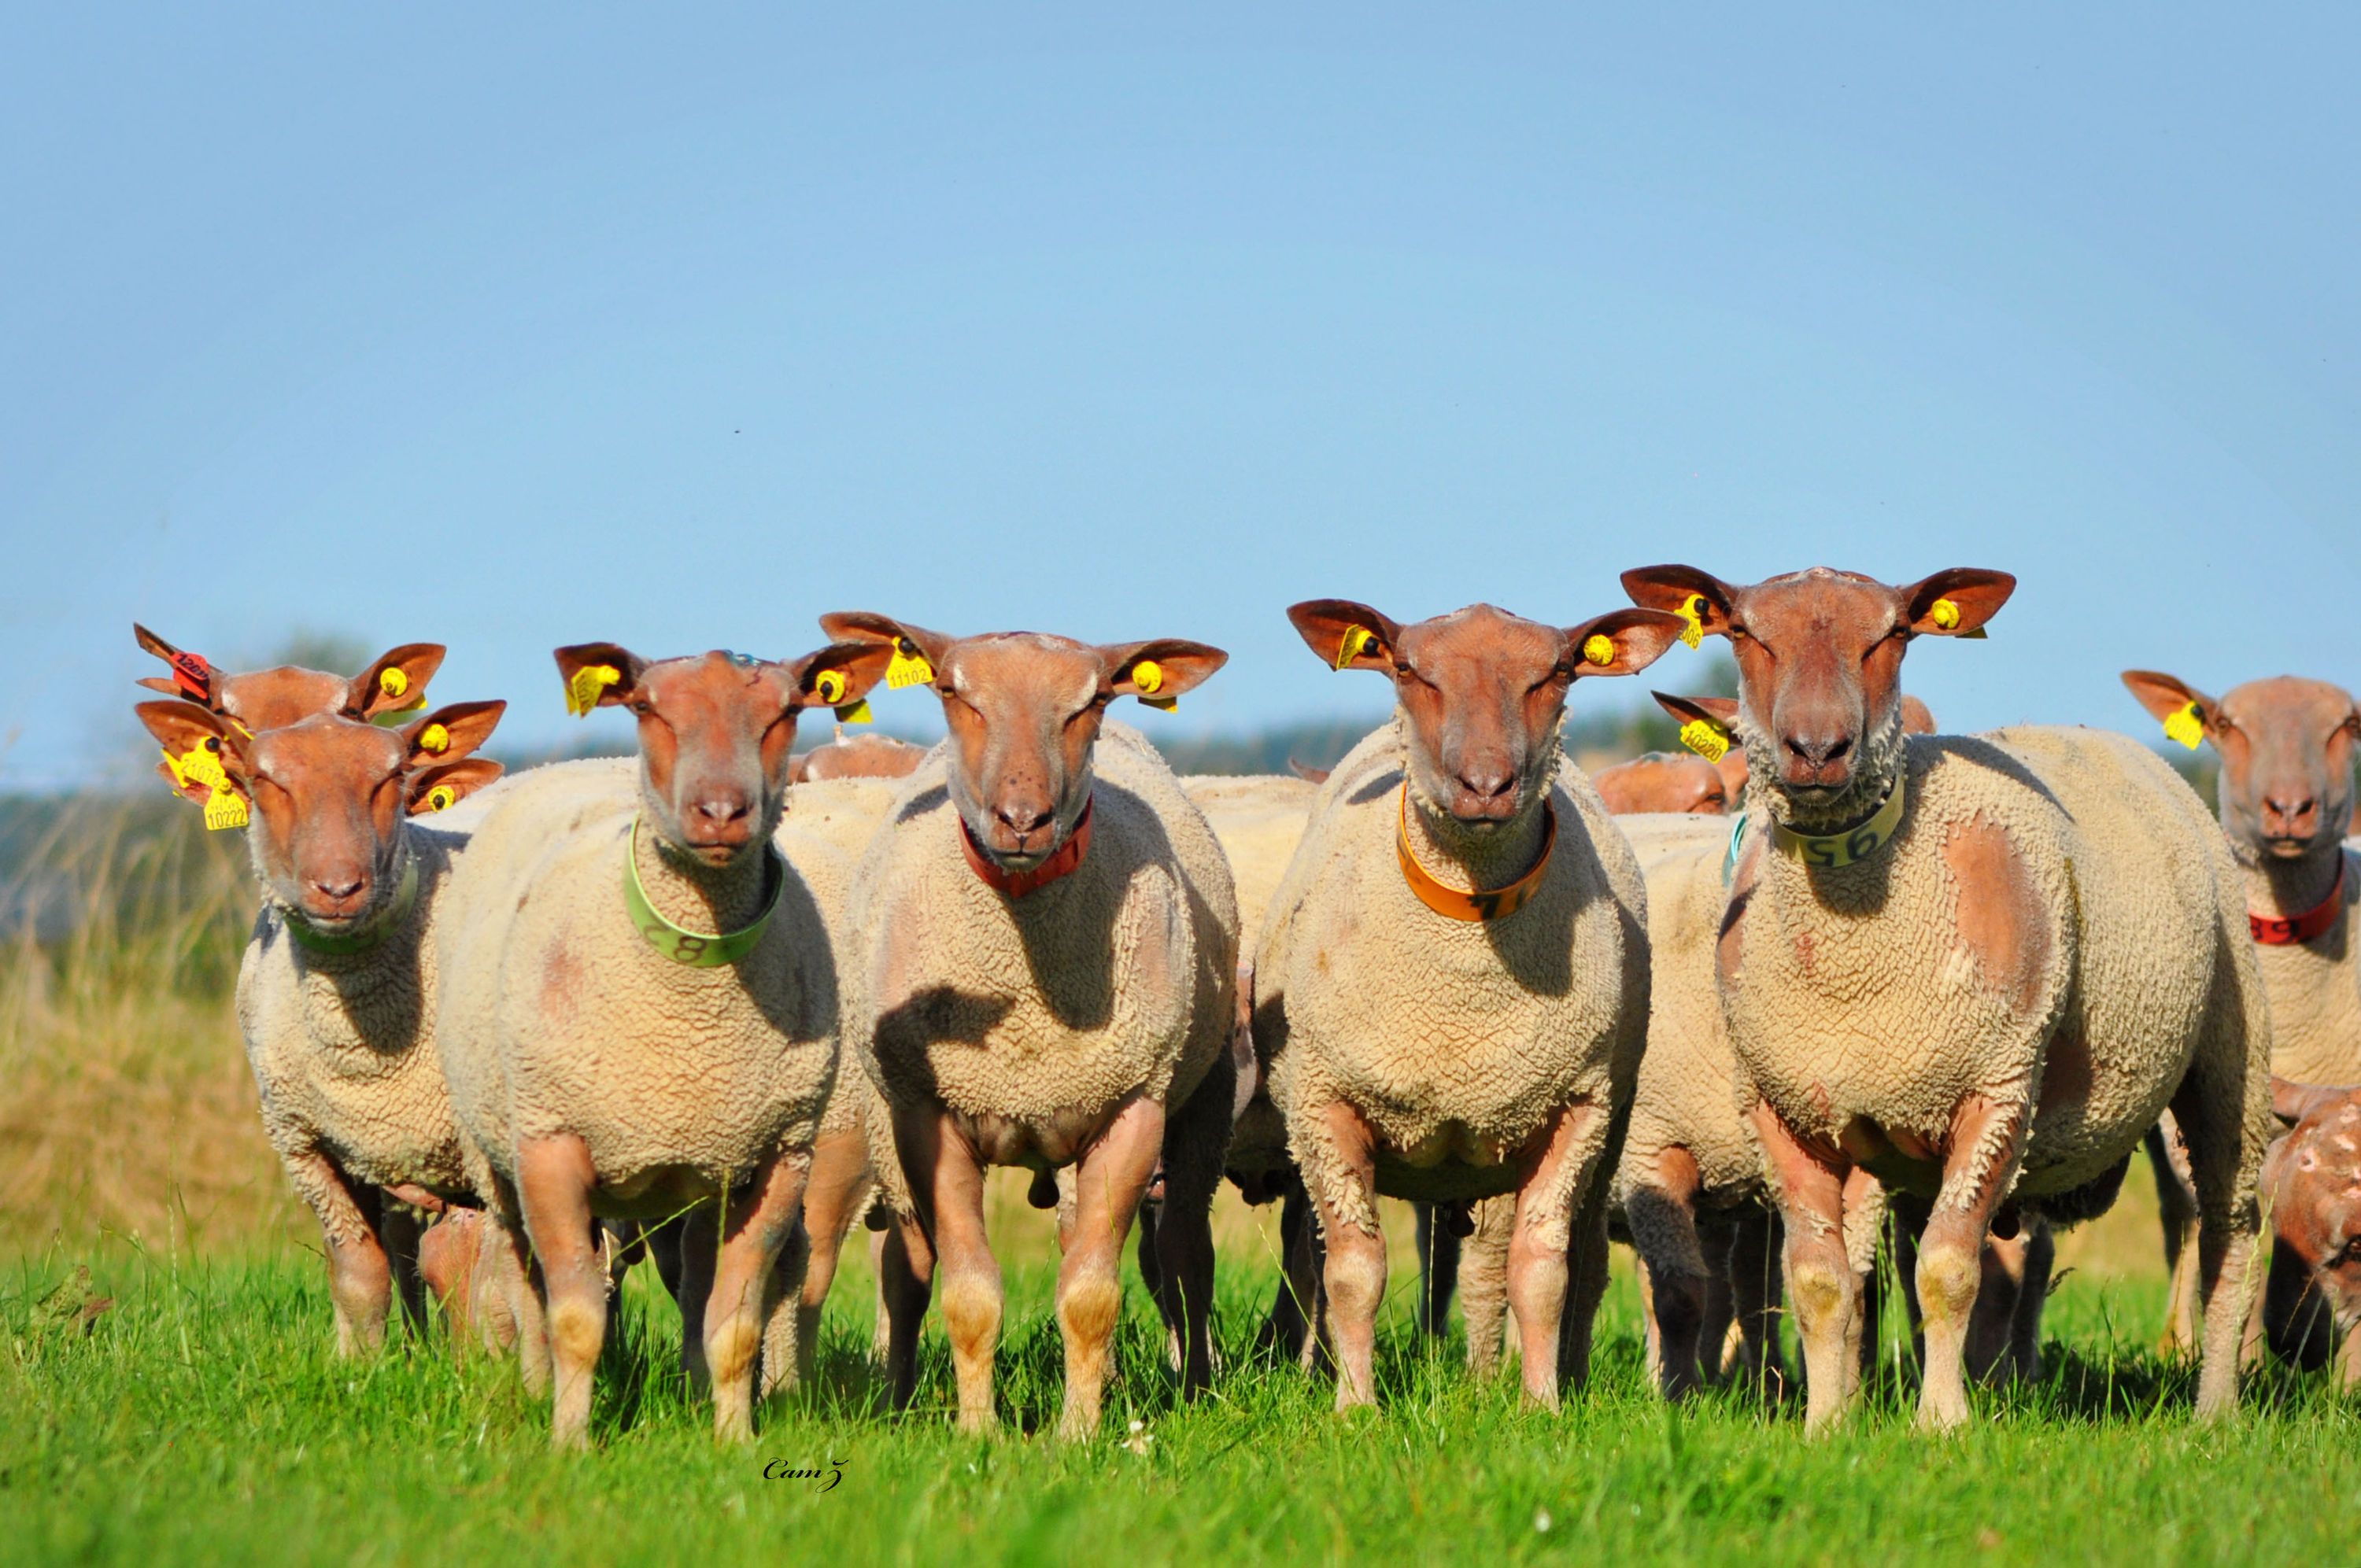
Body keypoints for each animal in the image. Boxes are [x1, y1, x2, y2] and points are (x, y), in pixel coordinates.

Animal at [132, 695, 508, 1355]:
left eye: (392, 776)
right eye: (266, 780)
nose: (338, 887)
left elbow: (473, 1271)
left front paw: (485, 1368)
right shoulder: (306, 1143)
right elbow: (360, 1271)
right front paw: (363, 1364)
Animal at [431, 640, 895, 1447]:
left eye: (786, 710)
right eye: (649, 706)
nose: (721, 811)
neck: (692, 1006)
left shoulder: (775, 1156)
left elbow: (735, 1322)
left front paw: (734, 1438)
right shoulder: (553, 1146)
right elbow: (575, 1316)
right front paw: (570, 1441)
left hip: (702, 1167)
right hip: (501, 1155)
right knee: (523, 1280)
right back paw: (533, 1386)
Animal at [822, 612, 1238, 1438]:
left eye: (1092, 701)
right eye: (953, 692)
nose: (1022, 820)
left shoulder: (1130, 1104)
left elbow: (1090, 1294)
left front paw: (1078, 1434)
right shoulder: (930, 1115)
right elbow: (969, 1292)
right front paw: (977, 1433)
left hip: (1199, 1094)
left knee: (1184, 1253)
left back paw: (1195, 1387)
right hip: (888, 1128)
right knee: (906, 1270)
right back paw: (896, 1397)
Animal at [1253, 598, 1684, 1411]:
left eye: (1556, 672)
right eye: (1409, 669)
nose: (1486, 783)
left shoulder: (1572, 1106)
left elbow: (1541, 1271)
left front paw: (1542, 1404)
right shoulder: (1326, 1100)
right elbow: (1353, 1269)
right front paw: (1354, 1406)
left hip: (1602, 1126)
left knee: (1580, 1264)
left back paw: (1563, 1372)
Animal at [1628, 563, 2275, 1432]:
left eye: (1893, 634)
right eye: (1744, 632)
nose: (1818, 750)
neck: (1849, 954)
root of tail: (2096, 735)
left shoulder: (1996, 1090)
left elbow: (1946, 1270)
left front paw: (1941, 1421)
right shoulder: (1781, 1105)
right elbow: (1819, 1280)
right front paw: (1826, 1423)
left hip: (2228, 1059)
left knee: (2228, 1240)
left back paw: (2215, 1409)